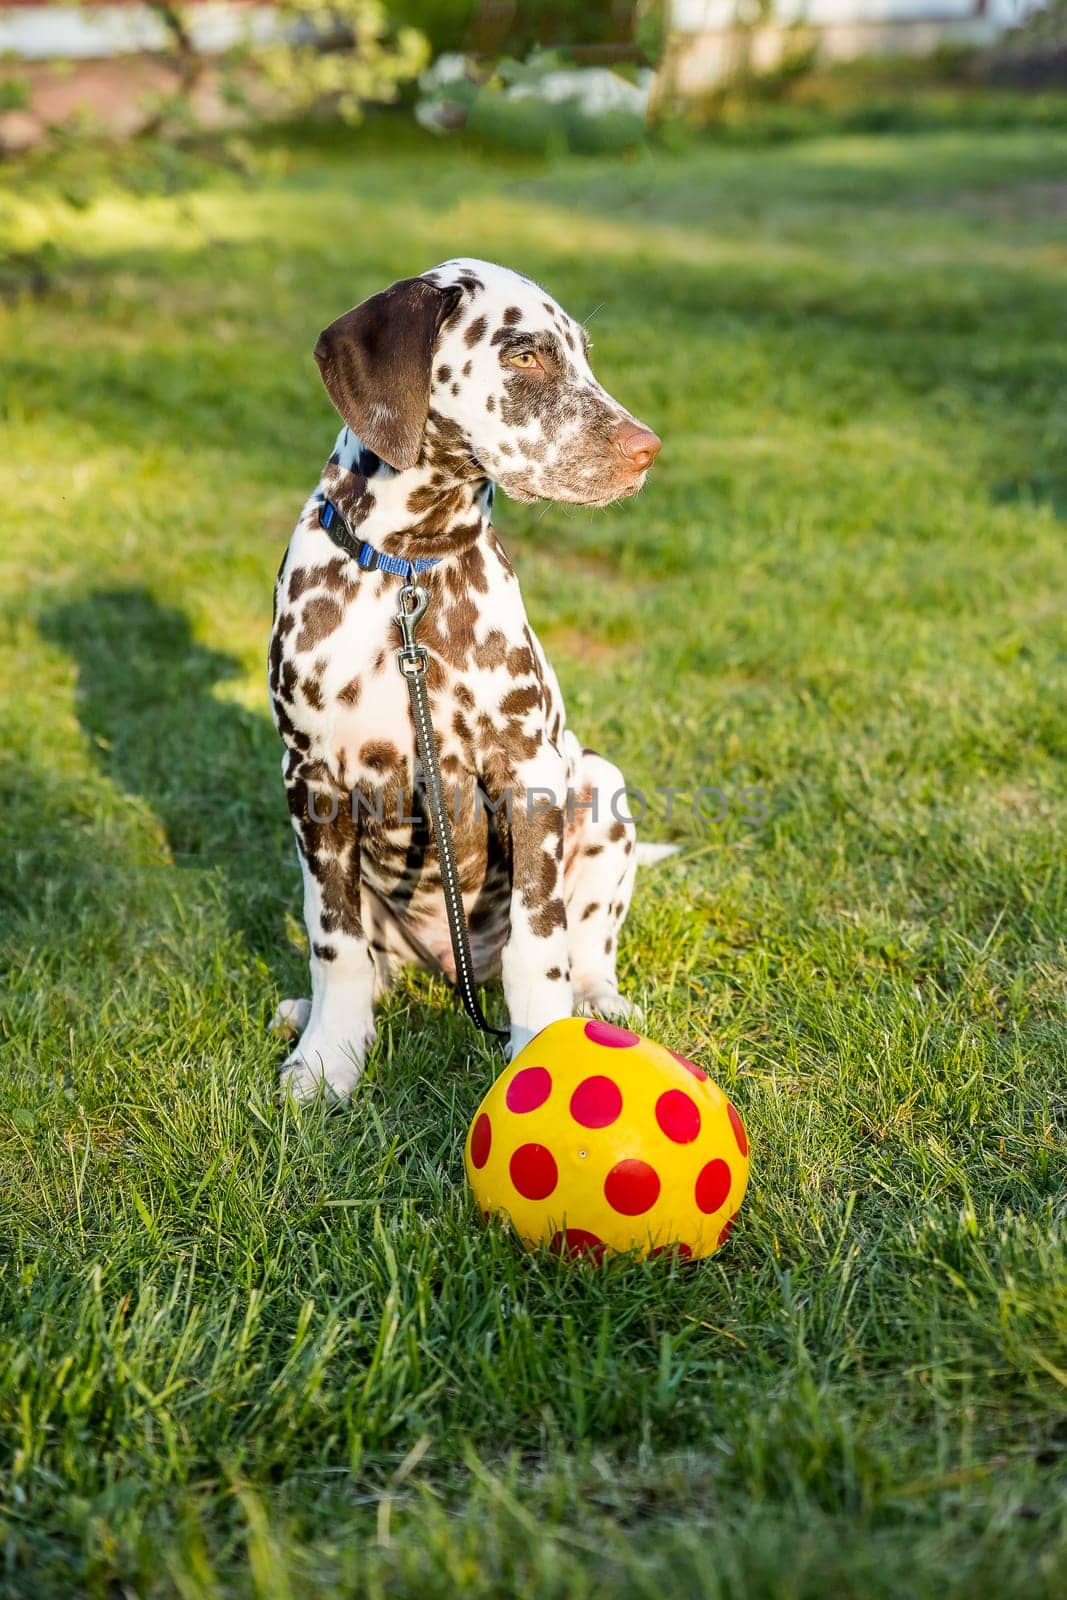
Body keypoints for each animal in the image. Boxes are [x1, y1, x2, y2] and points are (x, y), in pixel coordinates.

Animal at [268, 256, 659, 1100]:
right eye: (526, 355)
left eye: (583, 355)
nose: (646, 450)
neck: (408, 575)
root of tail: (453, 972)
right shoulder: (312, 782)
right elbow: (334, 945)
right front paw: (327, 1059)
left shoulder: (529, 773)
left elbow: (538, 944)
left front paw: (544, 1052)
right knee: (363, 957)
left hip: (600, 793)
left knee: (586, 948)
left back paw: (599, 1004)